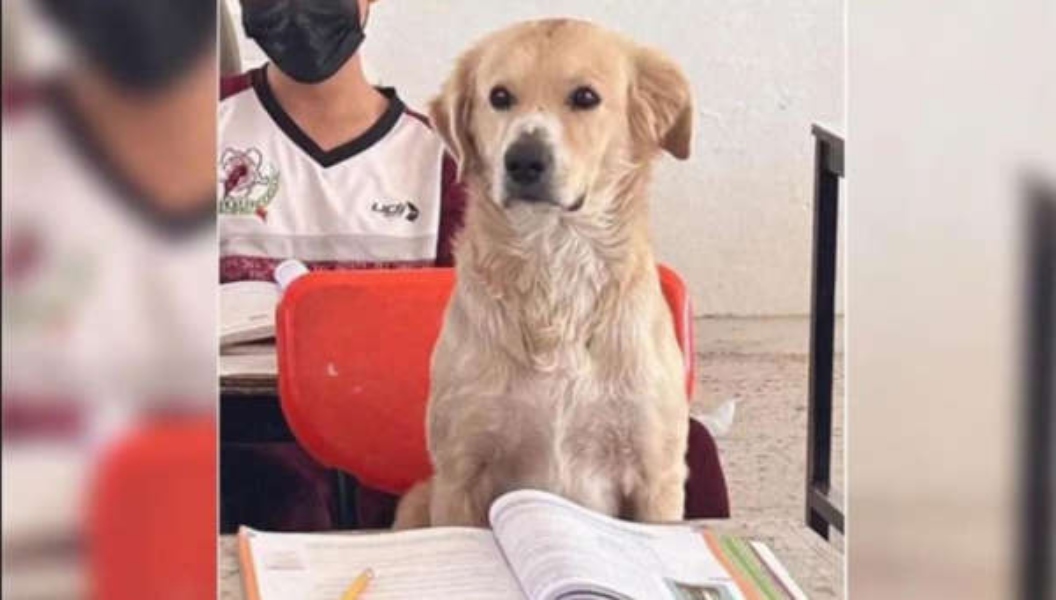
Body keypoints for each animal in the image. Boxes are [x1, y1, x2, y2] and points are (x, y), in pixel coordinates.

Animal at [394, 17, 692, 523]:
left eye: (585, 97)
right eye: (499, 96)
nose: (523, 160)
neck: (555, 264)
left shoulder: (657, 476)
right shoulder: (459, 474)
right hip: (418, 498)